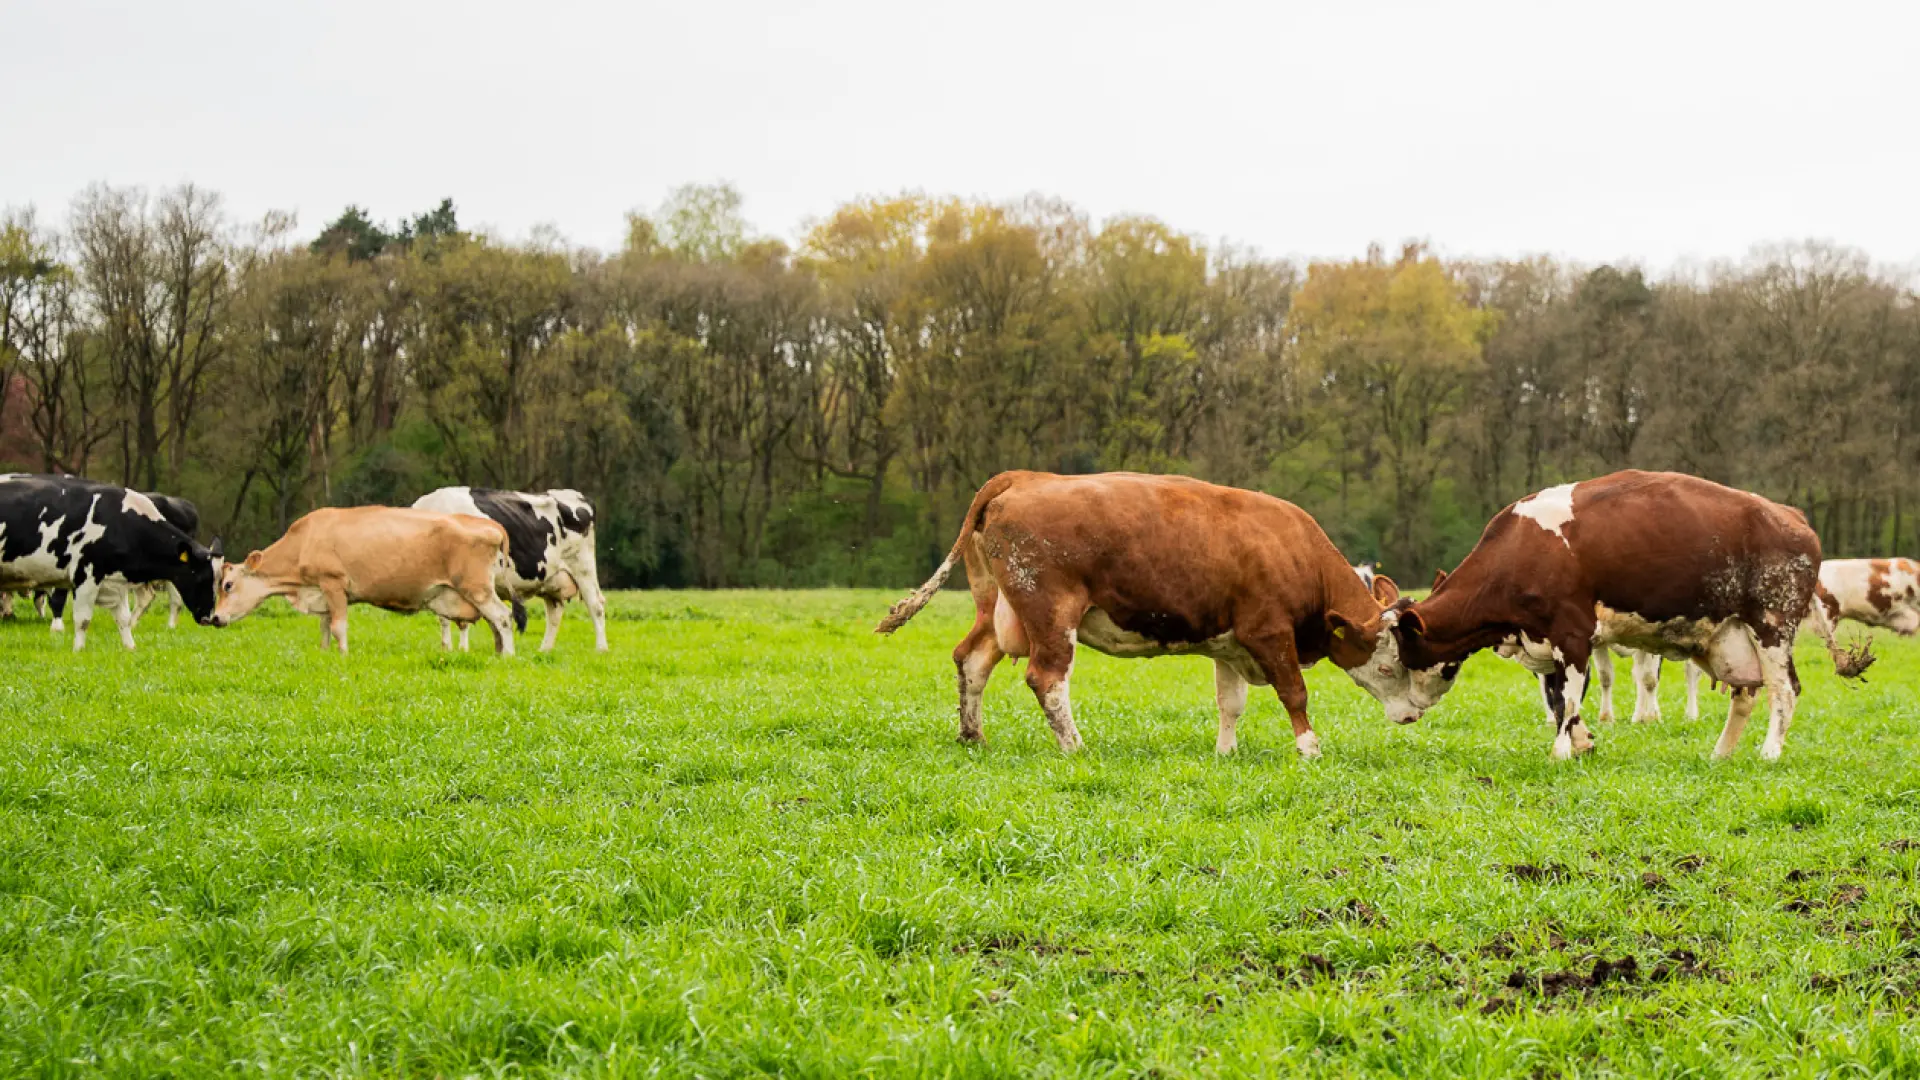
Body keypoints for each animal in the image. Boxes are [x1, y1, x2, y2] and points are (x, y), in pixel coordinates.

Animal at [0, 473, 221, 650]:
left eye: (221, 582)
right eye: (201, 579)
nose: (209, 618)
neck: (119, 521)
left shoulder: (116, 581)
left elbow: (123, 619)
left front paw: (130, 648)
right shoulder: (85, 573)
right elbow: (82, 618)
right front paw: (77, 650)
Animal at [209, 506, 517, 657]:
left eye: (227, 585)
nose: (214, 618)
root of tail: (489, 524)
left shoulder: (333, 583)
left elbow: (338, 626)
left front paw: (343, 655)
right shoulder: (321, 591)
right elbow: (324, 626)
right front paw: (324, 653)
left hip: (476, 588)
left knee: (502, 616)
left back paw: (508, 655)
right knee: (494, 622)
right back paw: (497, 652)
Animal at [410, 487, 608, 652]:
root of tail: (578, 496)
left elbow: (454, 618)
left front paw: (456, 649)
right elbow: (448, 616)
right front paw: (452, 649)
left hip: (583, 567)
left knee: (595, 606)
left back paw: (601, 649)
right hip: (551, 579)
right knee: (554, 612)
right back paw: (544, 650)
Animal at [875, 471, 1436, 757]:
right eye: (1389, 665)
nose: (1412, 714)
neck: (1296, 554)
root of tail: (1024, 478)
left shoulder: (1230, 643)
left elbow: (1230, 703)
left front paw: (1226, 753)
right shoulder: (1268, 633)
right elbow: (1294, 693)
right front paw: (1310, 748)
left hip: (996, 606)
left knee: (972, 661)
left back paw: (972, 735)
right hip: (1050, 613)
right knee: (1047, 679)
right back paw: (1074, 746)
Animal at [1388, 471, 1870, 762]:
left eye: (1397, 660)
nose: (1398, 715)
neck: (1522, 549)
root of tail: (1791, 515)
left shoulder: (1573, 634)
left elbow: (1570, 700)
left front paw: (1563, 751)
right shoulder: (1548, 642)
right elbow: (1561, 700)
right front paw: (1582, 741)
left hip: (1772, 624)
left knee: (1784, 690)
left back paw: (1769, 752)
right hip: (1734, 635)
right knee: (1745, 694)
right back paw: (1720, 754)